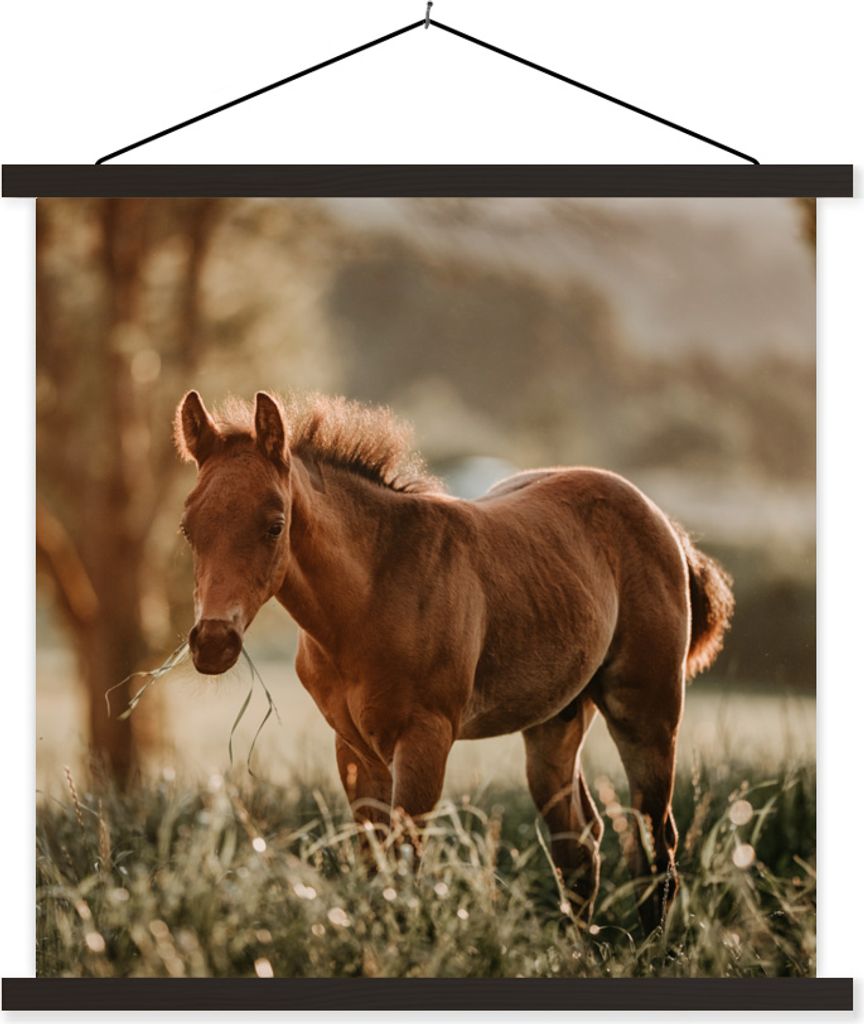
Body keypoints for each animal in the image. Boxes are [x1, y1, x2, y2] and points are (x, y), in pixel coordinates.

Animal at [175, 389, 733, 931]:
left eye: (275, 525)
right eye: (187, 528)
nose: (213, 643)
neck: (373, 592)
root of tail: (665, 524)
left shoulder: (426, 737)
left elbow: (404, 868)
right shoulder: (354, 748)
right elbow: (375, 867)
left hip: (647, 714)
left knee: (655, 846)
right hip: (556, 721)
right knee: (579, 849)